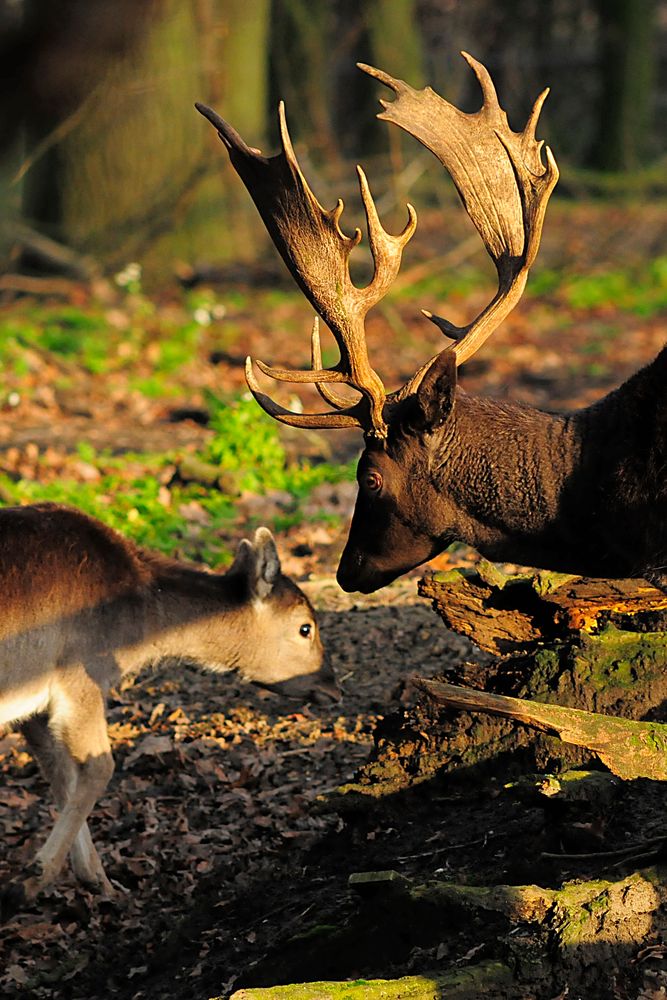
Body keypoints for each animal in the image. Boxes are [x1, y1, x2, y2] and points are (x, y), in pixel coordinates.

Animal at [0, 504, 334, 916]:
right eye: (305, 628)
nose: (332, 685)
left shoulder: (33, 710)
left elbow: (61, 774)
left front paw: (101, 883)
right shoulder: (80, 676)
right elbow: (99, 766)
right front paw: (29, 882)